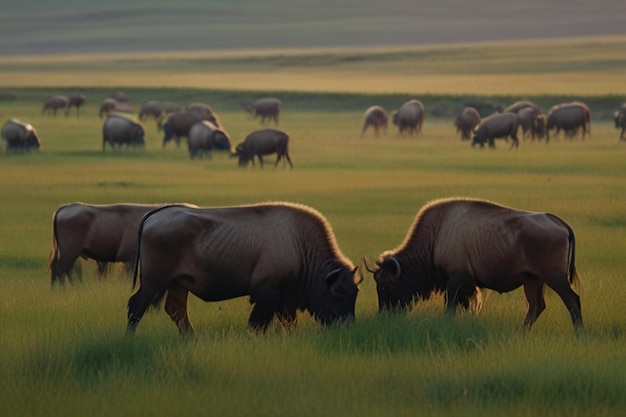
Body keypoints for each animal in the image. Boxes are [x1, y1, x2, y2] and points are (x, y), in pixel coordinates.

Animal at [125, 202, 360, 334]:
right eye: (339, 292)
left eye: (355, 292)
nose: (347, 325)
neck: (300, 243)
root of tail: (153, 217)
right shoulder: (267, 291)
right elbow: (259, 322)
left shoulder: (286, 296)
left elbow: (288, 320)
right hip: (154, 282)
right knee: (137, 306)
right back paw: (131, 337)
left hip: (177, 284)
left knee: (176, 311)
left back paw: (191, 338)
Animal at [364, 197, 584, 334]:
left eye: (389, 284)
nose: (384, 314)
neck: (437, 234)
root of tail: (559, 222)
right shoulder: (467, 284)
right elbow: (467, 305)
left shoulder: (455, 280)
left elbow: (450, 306)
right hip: (533, 281)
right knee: (536, 306)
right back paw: (521, 332)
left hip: (554, 278)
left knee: (572, 300)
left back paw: (579, 334)